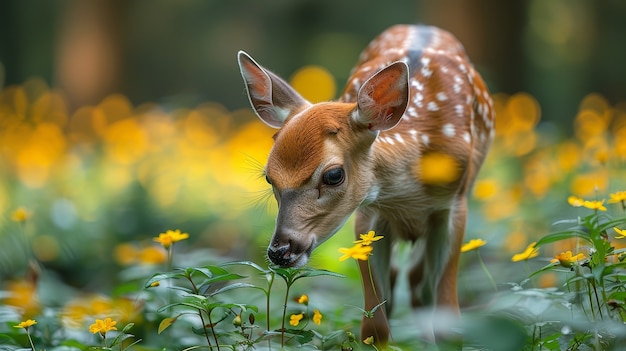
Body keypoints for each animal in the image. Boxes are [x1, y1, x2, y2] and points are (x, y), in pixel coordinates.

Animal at [235, 25, 492, 346]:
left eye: (333, 175)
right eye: (269, 177)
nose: (280, 251)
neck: (408, 195)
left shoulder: (453, 206)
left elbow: (449, 323)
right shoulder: (369, 212)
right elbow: (374, 327)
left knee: (418, 282)